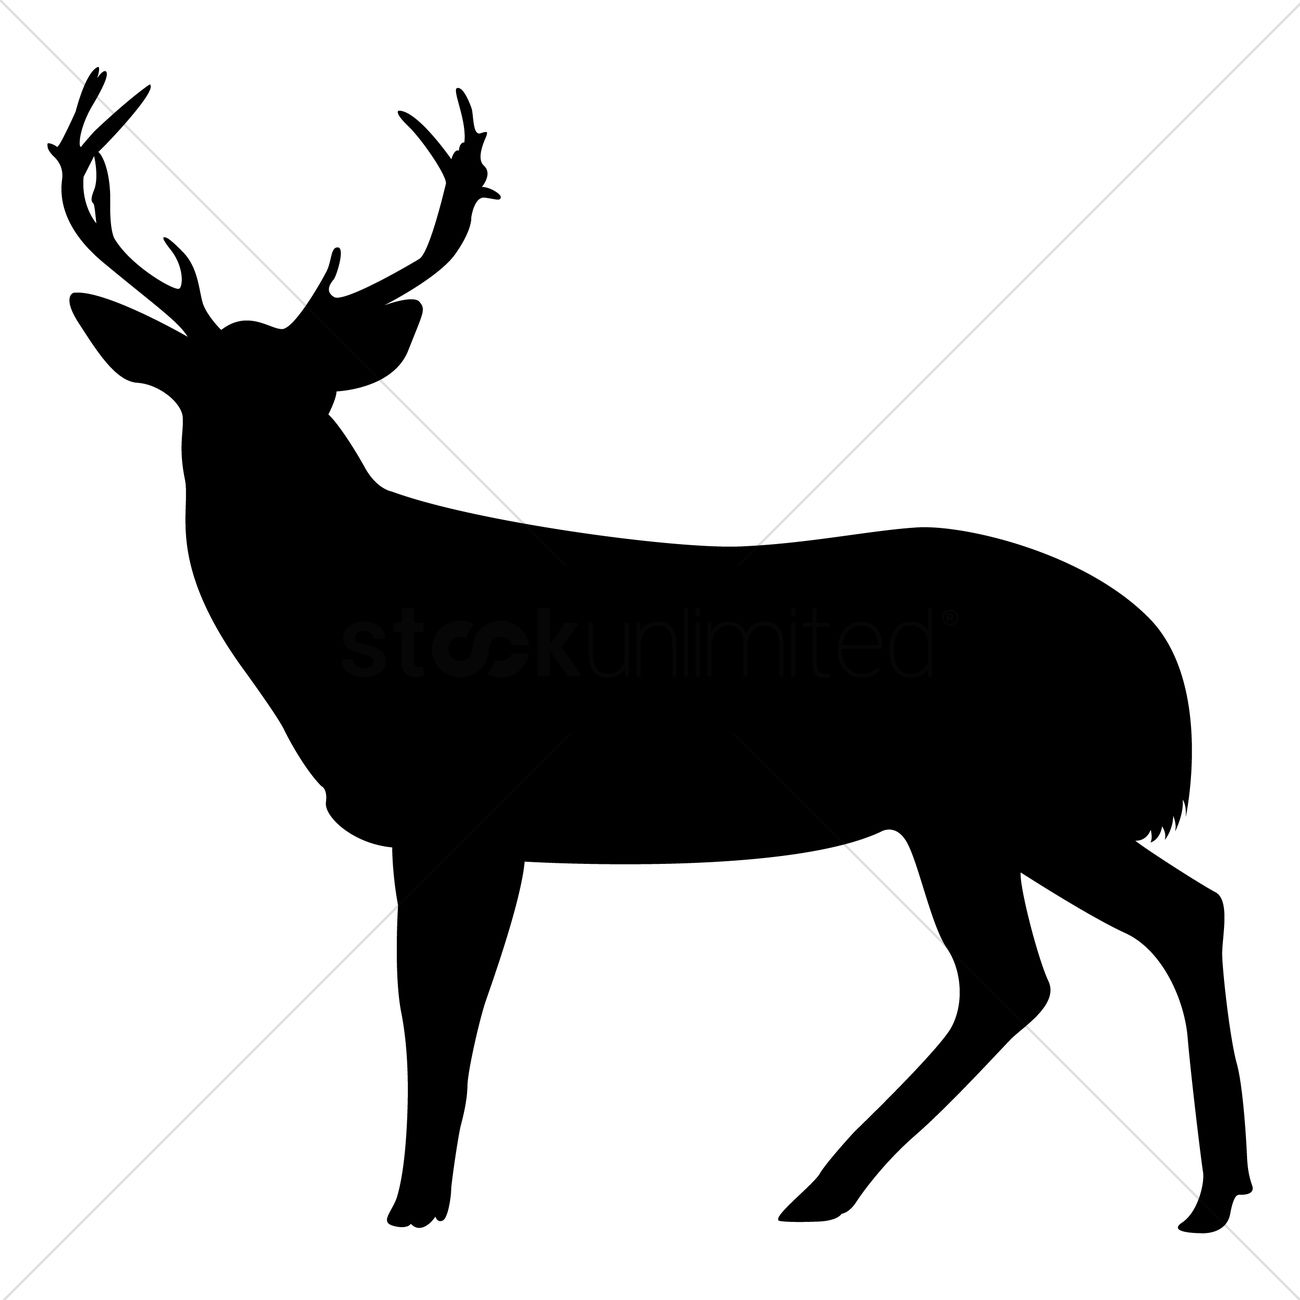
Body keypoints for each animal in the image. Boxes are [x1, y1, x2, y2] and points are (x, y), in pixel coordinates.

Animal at [51, 69, 1250, 1233]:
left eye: (315, 388)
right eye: (198, 389)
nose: (255, 474)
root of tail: (1155, 663)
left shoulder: (466, 808)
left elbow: (438, 1013)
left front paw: (412, 1210)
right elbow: (436, 1009)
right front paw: (418, 1203)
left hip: (1005, 795)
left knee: (1124, 935)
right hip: (972, 812)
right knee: (1064, 958)